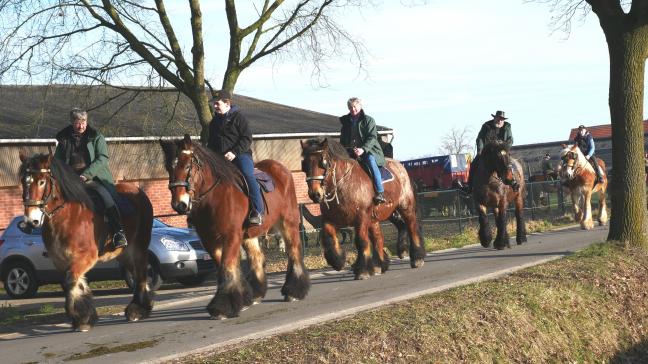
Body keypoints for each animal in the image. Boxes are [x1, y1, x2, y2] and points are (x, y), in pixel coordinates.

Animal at [18, 149, 154, 332]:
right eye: (23, 182)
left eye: (41, 182)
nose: (30, 221)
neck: (67, 217)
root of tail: (138, 192)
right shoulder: (60, 261)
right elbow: (74, 283)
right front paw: (85, 317)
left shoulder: (86, 257)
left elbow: (71, 280)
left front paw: (81, 318)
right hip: (124, 253)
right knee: (137, 272)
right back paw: (144, 305)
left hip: (139, 245)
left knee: (140, 273)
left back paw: (137, 310)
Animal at [158, 134, 308, 318]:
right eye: (168, 168)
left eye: (187, 166)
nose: (179, 205)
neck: (214, 198)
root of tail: (282, 169)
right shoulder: (210, 240)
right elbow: (226, 266)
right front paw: (240, 298)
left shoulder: (231, 236)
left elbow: (227, 266)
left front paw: (222, 307)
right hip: (250, 235)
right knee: (257, 258)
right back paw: (256, 294)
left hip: (288, 222)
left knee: (294, 251)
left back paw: (293, 291)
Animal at [298, 138, 426, 280]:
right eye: (304, 165)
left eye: (323, 163)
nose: (315, 194)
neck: (344, 184)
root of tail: (401, 167)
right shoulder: (329, 219)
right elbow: (328, 238)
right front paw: (338, 261)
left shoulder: (361, 218)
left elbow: (361, 241)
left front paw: (362, 270)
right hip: (377, 217)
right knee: (380, 237)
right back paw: (380, 264)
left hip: (405, 207)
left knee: (411, 226)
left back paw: (416, 257)